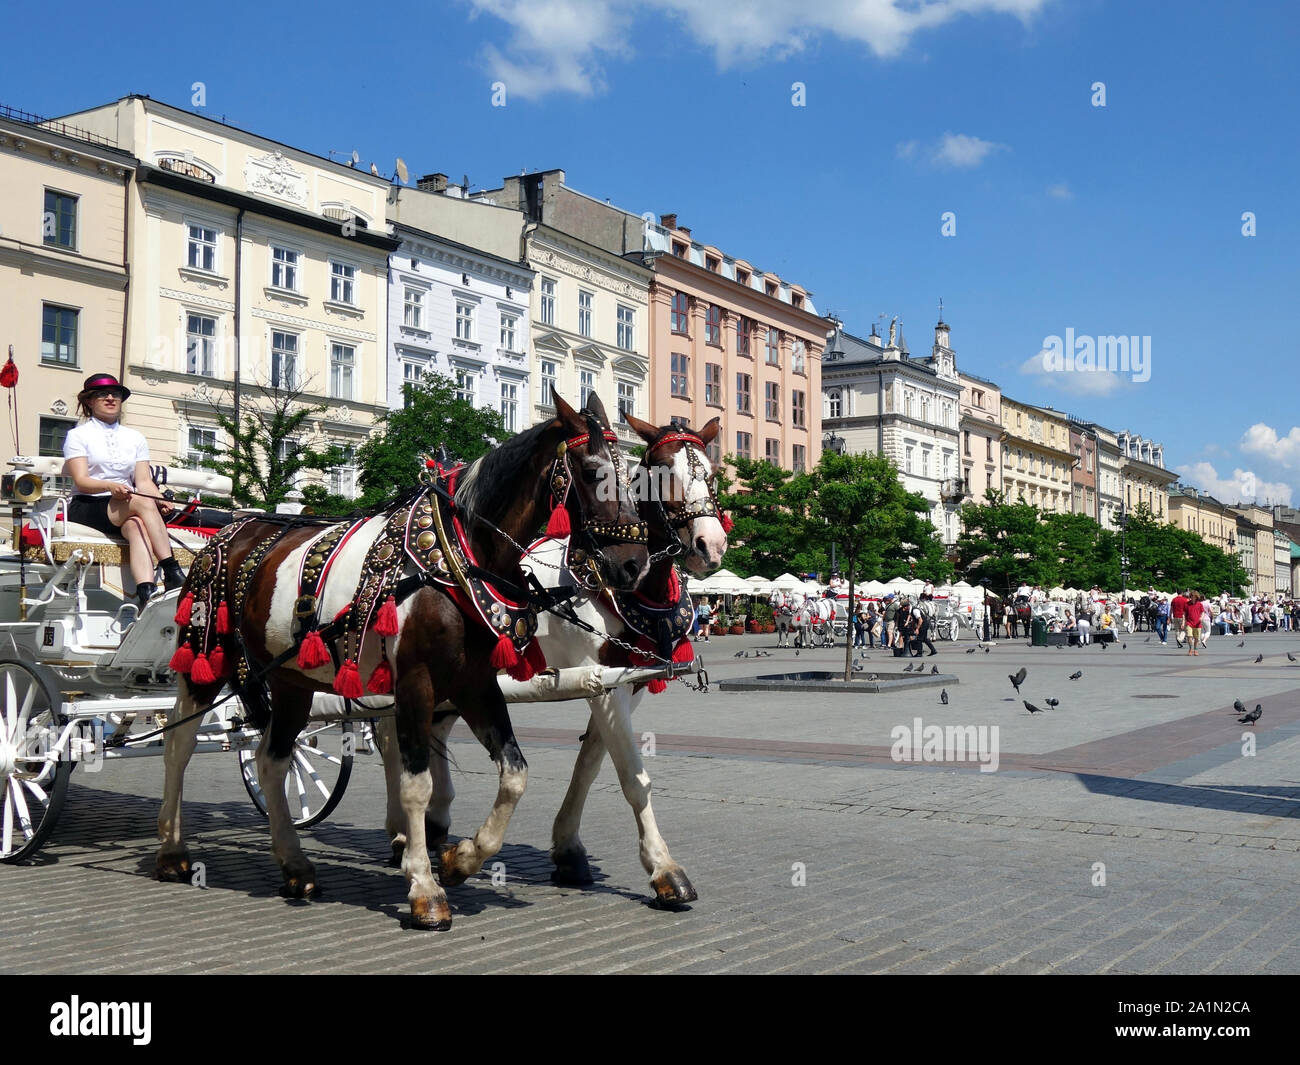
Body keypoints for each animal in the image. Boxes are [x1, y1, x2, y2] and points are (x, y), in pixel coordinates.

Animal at [154, 395, 650, 931]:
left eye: (634, 477)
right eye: (593, 471)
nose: (633, 565)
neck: (460, 556)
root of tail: (231, 527)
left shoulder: (476, 684)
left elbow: (515, 774)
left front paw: (460, 859)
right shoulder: (417, 684)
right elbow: (417, 785)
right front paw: (425, 888)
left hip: (290, 679)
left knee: (271, 759)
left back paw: (294, 864)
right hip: (204, 660)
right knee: (178, 745)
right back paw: (173, 851)